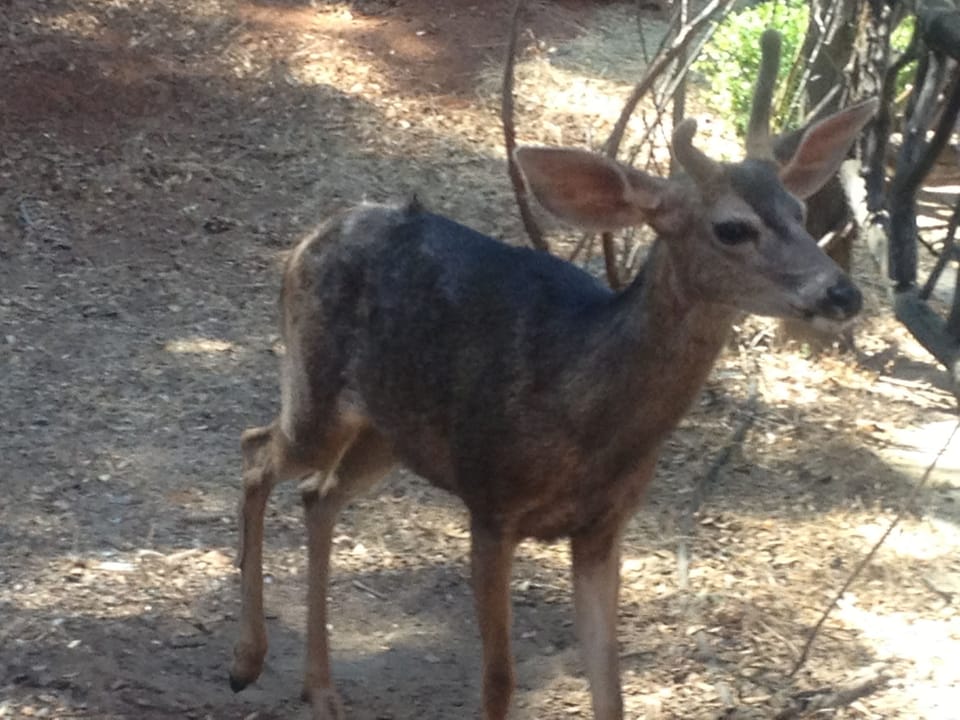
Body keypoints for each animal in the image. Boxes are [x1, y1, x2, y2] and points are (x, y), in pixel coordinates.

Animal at [227, 48, 878, 720]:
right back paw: (246, 661)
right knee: (257, 451)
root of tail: (312, 235)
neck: (581, 408)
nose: (842, 292)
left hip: (390, 433)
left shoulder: (603, 529)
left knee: (318, 494)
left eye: (800, 212)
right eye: (732, 227)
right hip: (318, 392)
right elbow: (499, 680)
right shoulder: (490, 505)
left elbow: (610, 685)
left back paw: (320, 687)